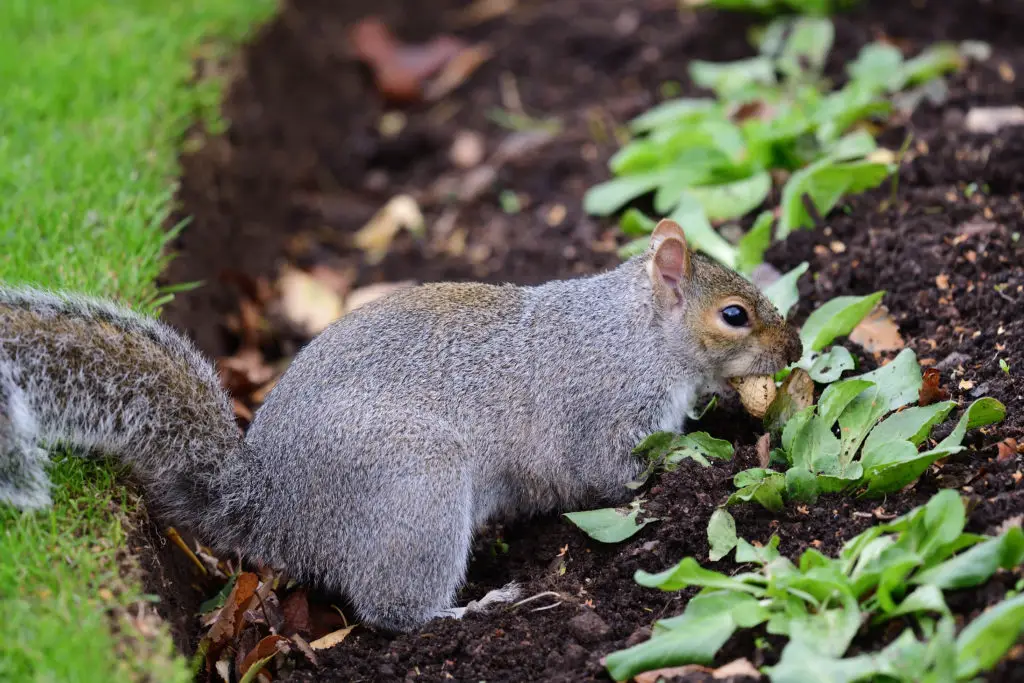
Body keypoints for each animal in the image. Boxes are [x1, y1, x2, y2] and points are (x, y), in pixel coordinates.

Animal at [0, 219, 801, 632]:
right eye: (734, 315)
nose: (794, 349)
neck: (635, 333)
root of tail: (271, 508)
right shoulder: (602, 412)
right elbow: (617, 473)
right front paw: (695, 457)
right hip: (416, 482)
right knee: (393, 611)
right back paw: (472, 609)